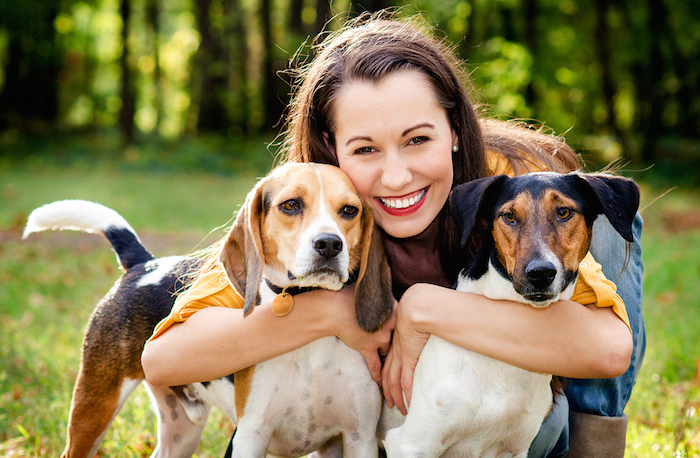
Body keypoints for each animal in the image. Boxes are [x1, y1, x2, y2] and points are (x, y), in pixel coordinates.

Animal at [24, 164, 394, 458]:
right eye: (290, 205)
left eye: (349, 210)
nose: (330, 244)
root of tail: (145, 263)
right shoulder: (250, 435)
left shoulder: (359, 438)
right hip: (94, 407)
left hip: (181, 431)